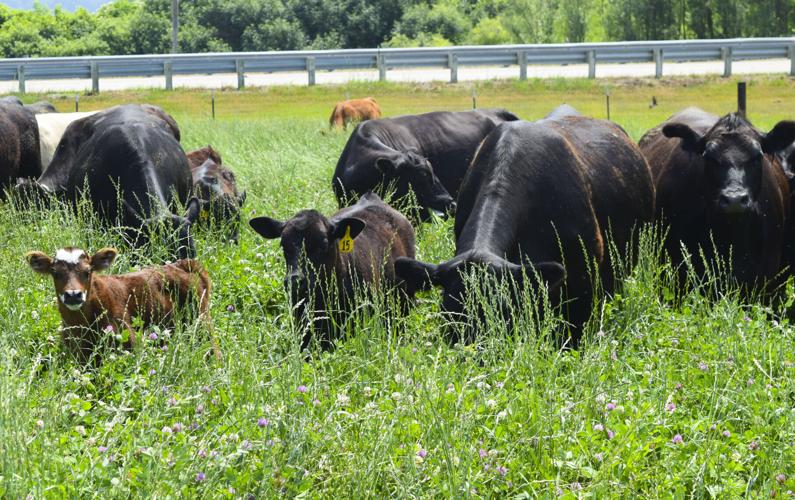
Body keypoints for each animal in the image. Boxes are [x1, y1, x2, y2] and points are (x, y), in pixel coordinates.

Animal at [25, 247, 218, 364]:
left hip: (201, 321)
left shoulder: (130, 343)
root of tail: (182, 264)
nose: (73, 295)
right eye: (55, 273)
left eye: (87, 272)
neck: (80, 325)